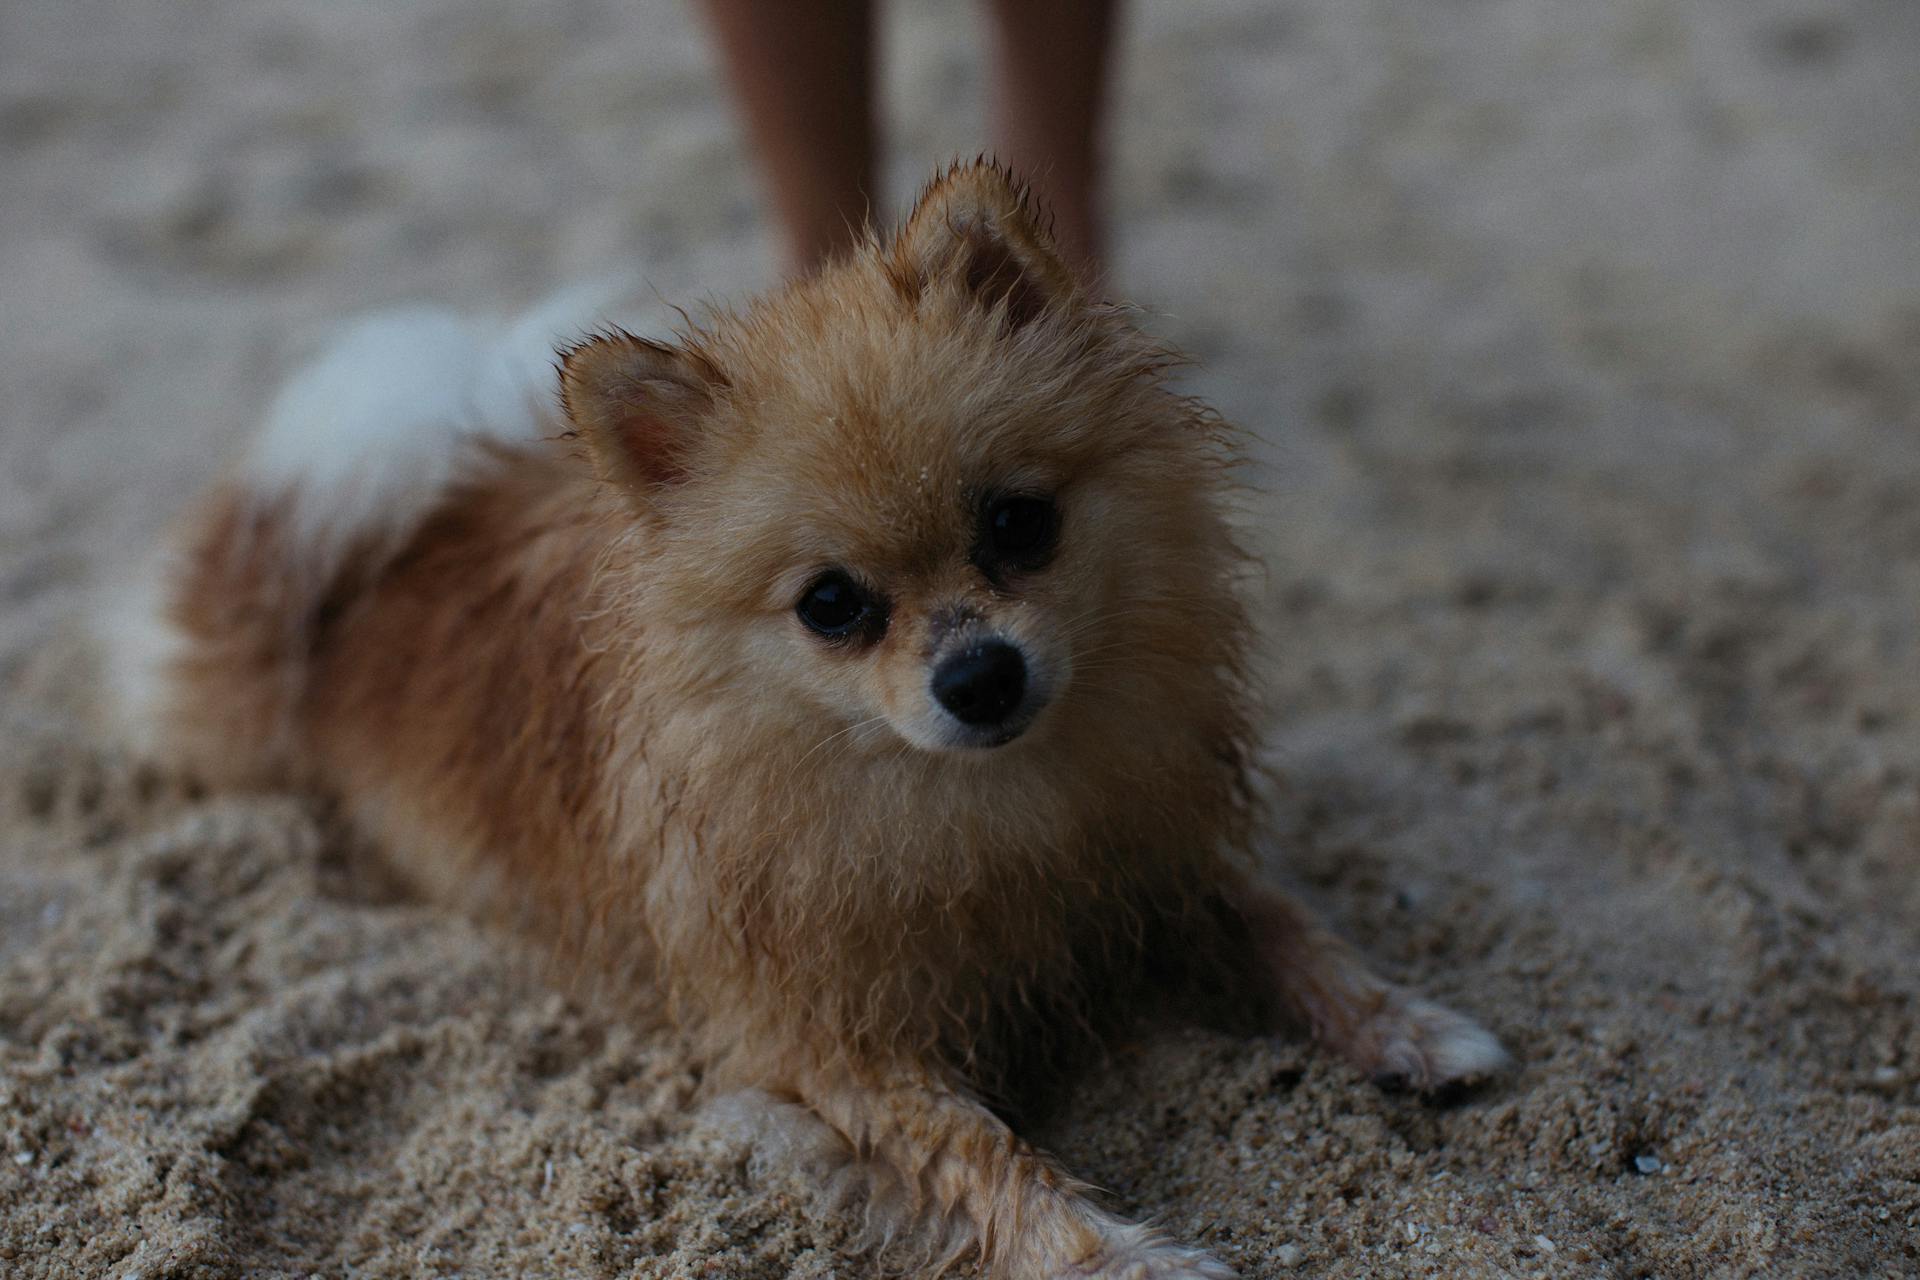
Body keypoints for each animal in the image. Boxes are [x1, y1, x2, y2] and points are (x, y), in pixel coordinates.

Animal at [112, 165, 1505, 1274]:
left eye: (1019, 524)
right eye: (833, 604)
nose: (979, 674)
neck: (991, 809)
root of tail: (392, 549)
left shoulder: (1143, 854)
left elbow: (1287, 925)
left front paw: (1408, 1021)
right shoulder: (827, 1047)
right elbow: (982, 1154)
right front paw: (1125, 1256)